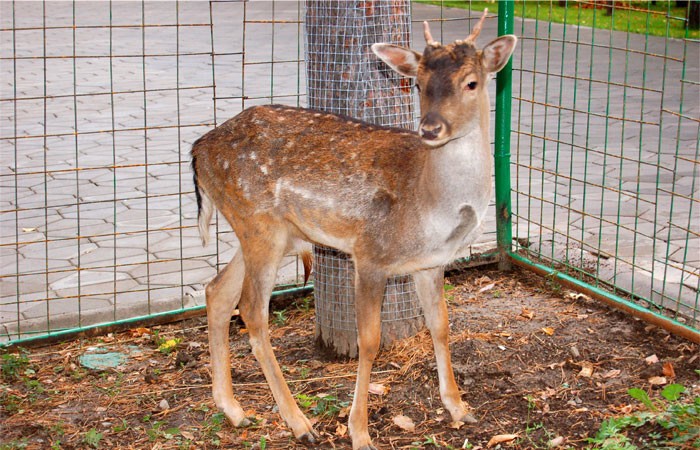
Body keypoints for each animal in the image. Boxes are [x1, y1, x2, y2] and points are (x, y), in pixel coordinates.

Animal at [190, 10, 516, 450]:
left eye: (471, 82)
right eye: (418, 83)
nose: (430, 128)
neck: (430, 203)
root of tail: (197, 151)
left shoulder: (430, 264)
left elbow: (442, 326)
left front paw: (459, 408)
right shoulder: (370, 253)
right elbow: (370, 342)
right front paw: (359, 431)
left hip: (269, 232)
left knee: (217, 291)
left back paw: (234, 410)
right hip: (259, 223)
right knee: (252, 311)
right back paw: (299, 423)